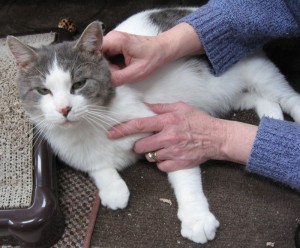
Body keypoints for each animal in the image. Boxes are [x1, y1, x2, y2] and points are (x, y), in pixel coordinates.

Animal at [7, 7, 300, 244]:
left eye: (78, 84)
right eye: (43, 90)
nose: (64, 109)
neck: (91, 123)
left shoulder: (167, 128)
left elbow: (183, 172)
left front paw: (196, 217)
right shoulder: (74, 151)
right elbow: (97, 166)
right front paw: (113, 189)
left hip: (258, 72)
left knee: (285, 95)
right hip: (227, 95)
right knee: (254, 97)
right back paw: (270, 115)